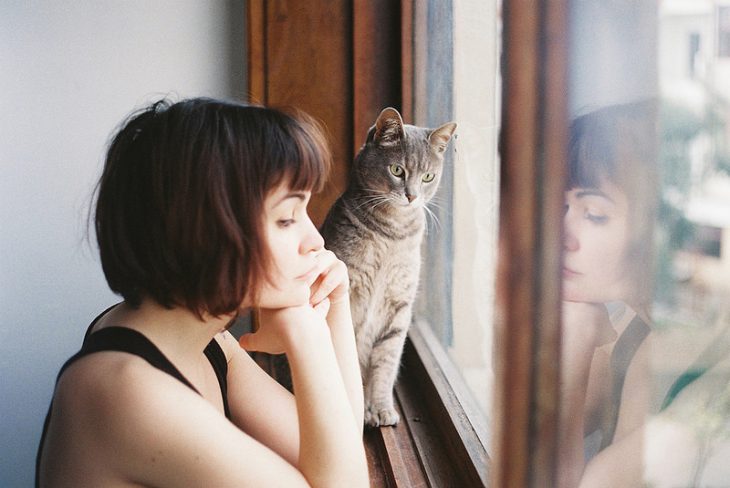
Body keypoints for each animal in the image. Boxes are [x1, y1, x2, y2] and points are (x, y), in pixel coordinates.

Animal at [320, 107, 456, 428]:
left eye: (428, 177)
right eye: (397, 171)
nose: (412, 195)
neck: (392, 233)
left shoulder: (399, 307)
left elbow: (386, 363)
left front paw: (379, 408)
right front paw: (358, 412)